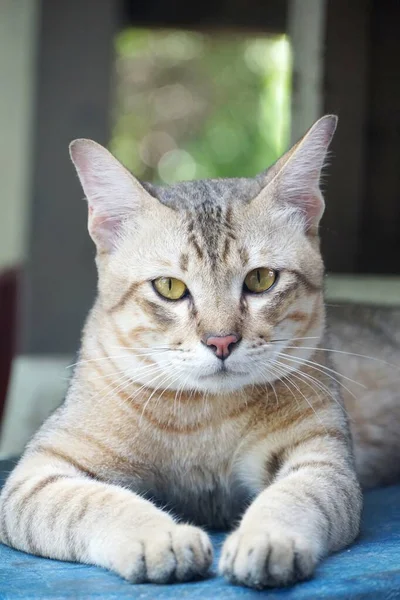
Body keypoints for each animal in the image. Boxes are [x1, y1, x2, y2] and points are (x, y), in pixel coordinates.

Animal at [0, 113, 396, 592]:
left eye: (261, 279)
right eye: (169, 287)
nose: (221, 341)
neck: (203, 417)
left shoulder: (323, 461)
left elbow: (293, 497)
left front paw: (266, 537)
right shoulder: (39, 475)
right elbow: (96, 503)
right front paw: (159, 537)